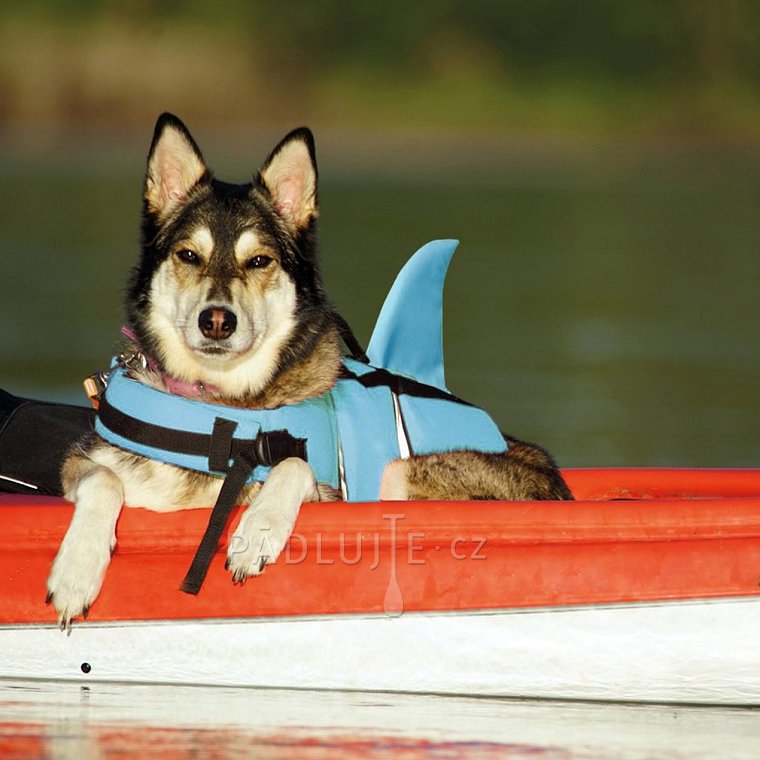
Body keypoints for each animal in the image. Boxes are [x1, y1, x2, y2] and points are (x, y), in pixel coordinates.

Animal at [46, 111, 568, 624]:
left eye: (259, 260)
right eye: (188, 255)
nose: (217, 321)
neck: (217, 406)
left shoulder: (325, 490)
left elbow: (293, 463)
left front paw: (257, 532)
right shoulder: (83, 464)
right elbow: (102, 479)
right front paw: (75, 571)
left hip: (400, 474)